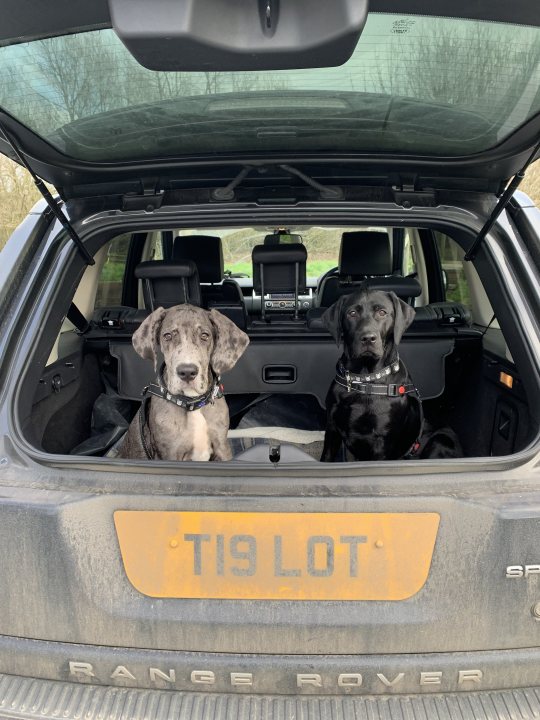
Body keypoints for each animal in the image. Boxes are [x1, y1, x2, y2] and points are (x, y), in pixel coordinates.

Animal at [118, 304, 249, 462]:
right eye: (167, 336)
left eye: (205, 335)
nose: (187, 372)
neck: (191, 403)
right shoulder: (171, 453)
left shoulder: (222, 447)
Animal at [320, 286, 422, 462]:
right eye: (352, 313)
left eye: (382, 312)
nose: (368, 338)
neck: (364, 379)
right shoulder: (332, 428)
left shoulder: (380, 443)